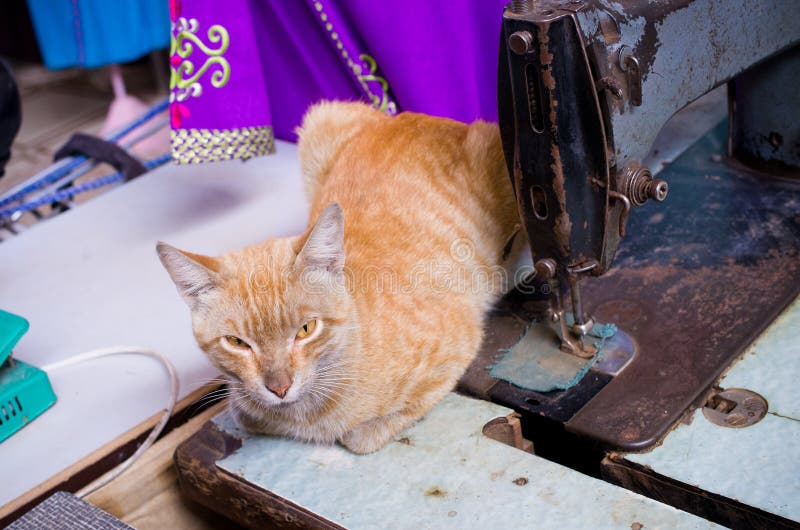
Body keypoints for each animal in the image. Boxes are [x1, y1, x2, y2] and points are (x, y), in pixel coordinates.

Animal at [158, 101, 520, 452]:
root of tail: (418, 116)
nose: (279, 387)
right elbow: (244, 411)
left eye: (306, 329)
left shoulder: (456, 348)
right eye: (237, 343)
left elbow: (362, 436)